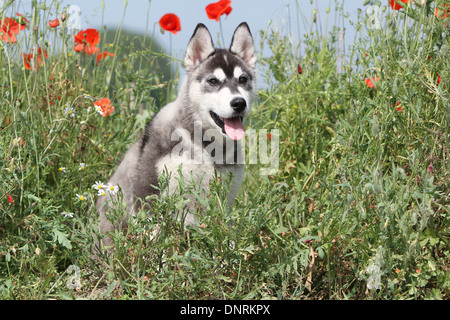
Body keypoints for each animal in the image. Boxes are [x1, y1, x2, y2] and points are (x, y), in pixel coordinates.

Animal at [95, 23, 255, 251]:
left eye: (243, 79)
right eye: (213, 81)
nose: (239, 103)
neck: (205, 147)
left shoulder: (225, 199)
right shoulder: (147, 191)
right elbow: (157, 239)